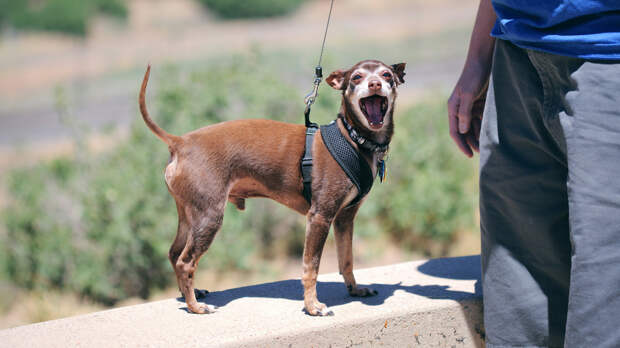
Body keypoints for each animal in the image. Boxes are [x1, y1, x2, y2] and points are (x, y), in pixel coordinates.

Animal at [138, 59, 404, 316]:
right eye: (356, 77)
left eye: (386, 75)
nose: (374, 84)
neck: (354, 139)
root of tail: (180, 142)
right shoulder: (319, 217)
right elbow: (311, 267)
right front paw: (312, 306)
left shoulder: (344, 218)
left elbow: (346, 259)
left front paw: (354, 289)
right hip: (209, 217)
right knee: (186, 262)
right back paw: (195, 306)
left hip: (189, 215)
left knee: (174, 253)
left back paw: (189, 294)